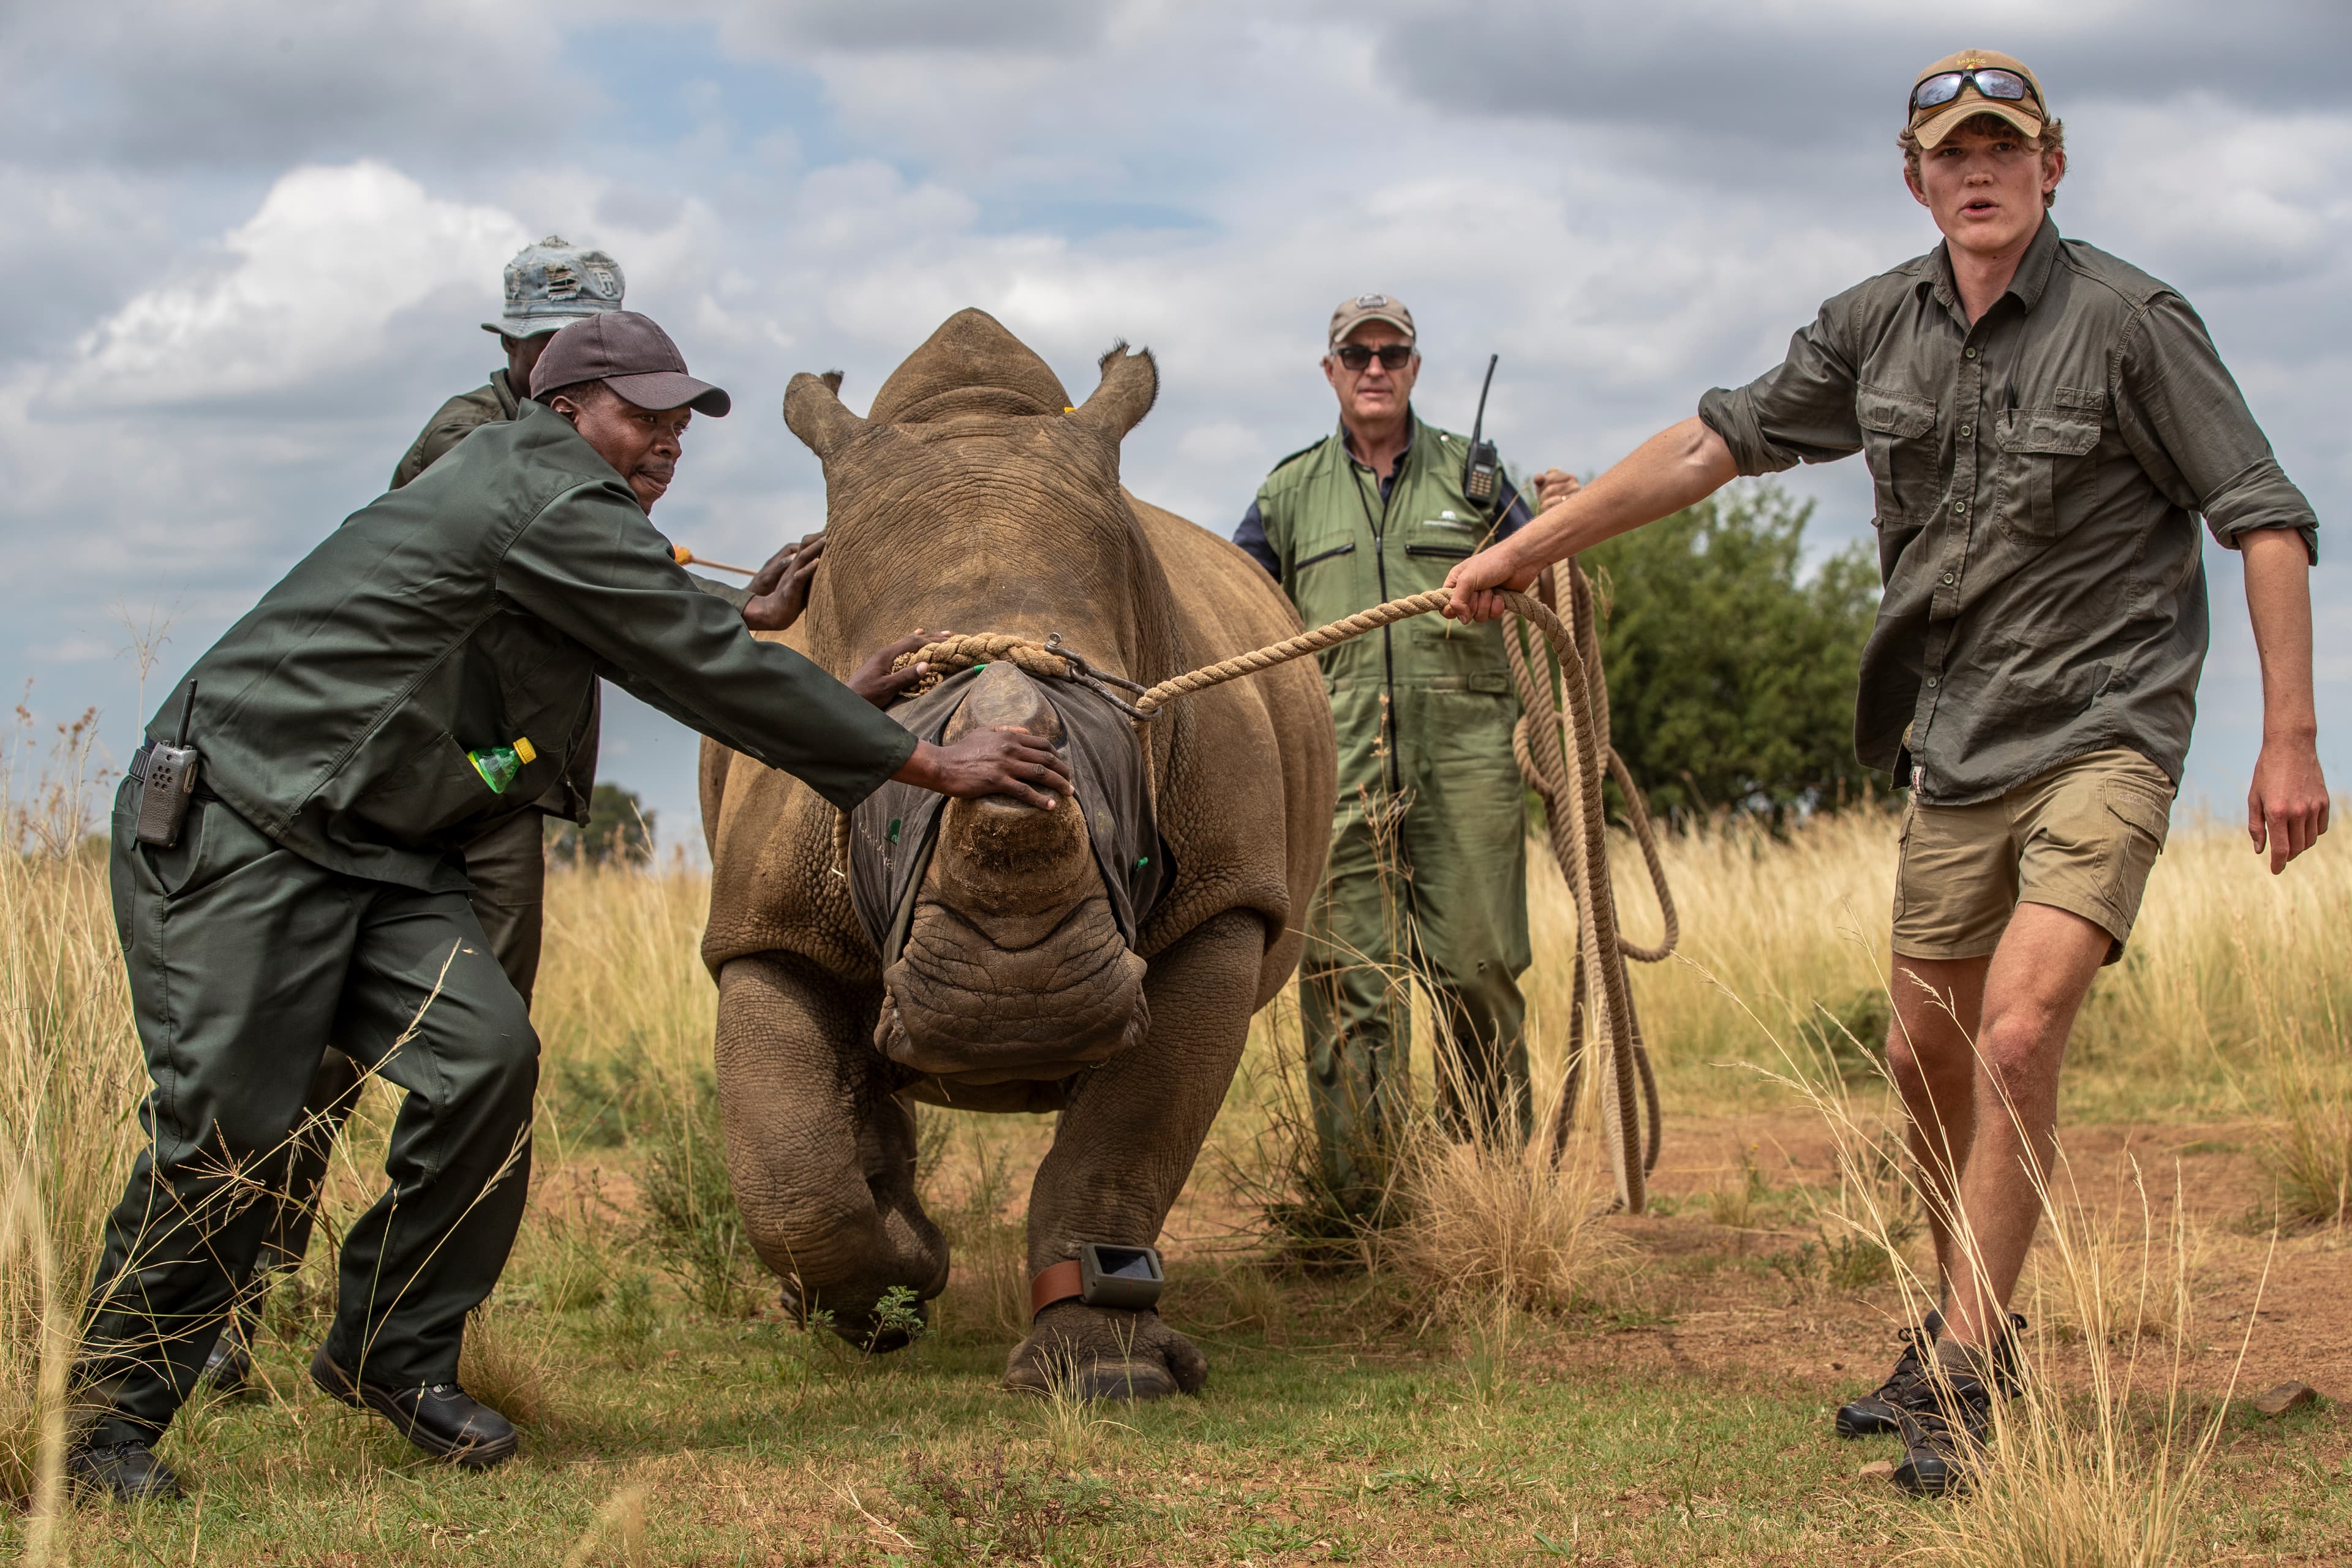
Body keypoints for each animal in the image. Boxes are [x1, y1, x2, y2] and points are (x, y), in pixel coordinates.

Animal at [698, 309, 1336, 1396]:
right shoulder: (760, 921)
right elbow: (789, 1172)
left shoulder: (1227, 903)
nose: (1016, 1009)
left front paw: (1107, 1376)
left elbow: (1126, 1142)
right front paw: (891, 1289)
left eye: (1121, 725)